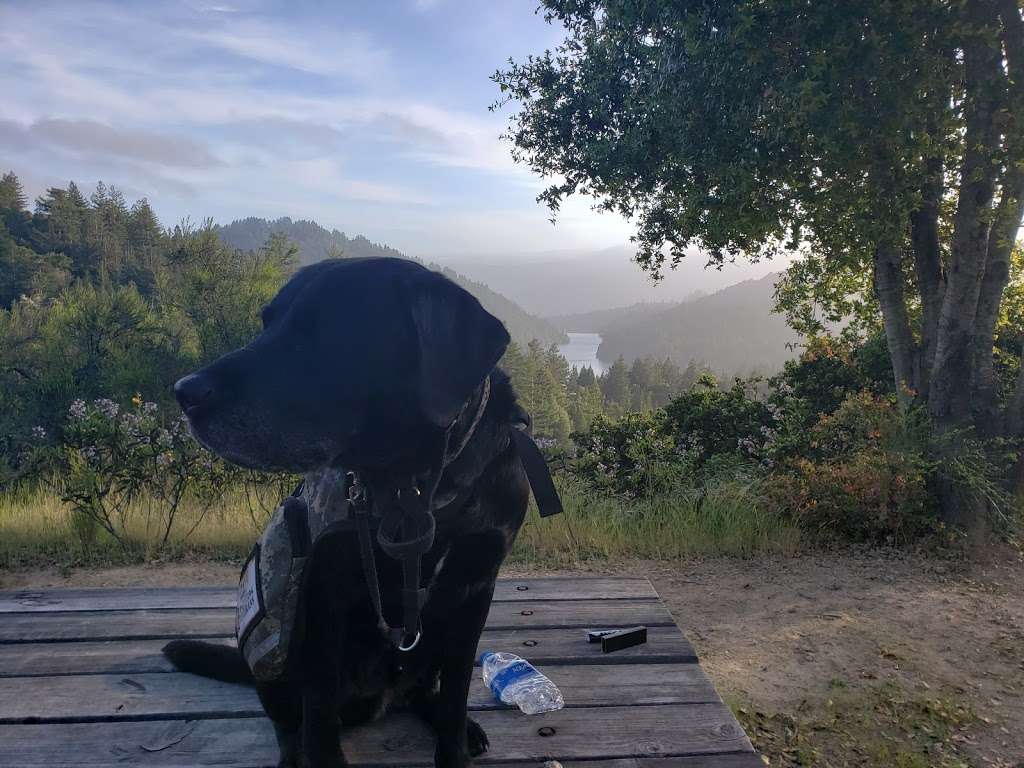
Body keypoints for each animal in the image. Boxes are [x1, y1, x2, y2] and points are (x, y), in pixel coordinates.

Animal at [161, 260, 528, 768]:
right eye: (266, 323)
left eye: (325, 330)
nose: (185, 391)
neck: (412, 487)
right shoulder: (323, 596)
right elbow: (318, 717)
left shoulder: (475, 590)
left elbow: (455, 697)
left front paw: (455, 744)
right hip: (277, 655)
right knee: (290, 724)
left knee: (422, 692)